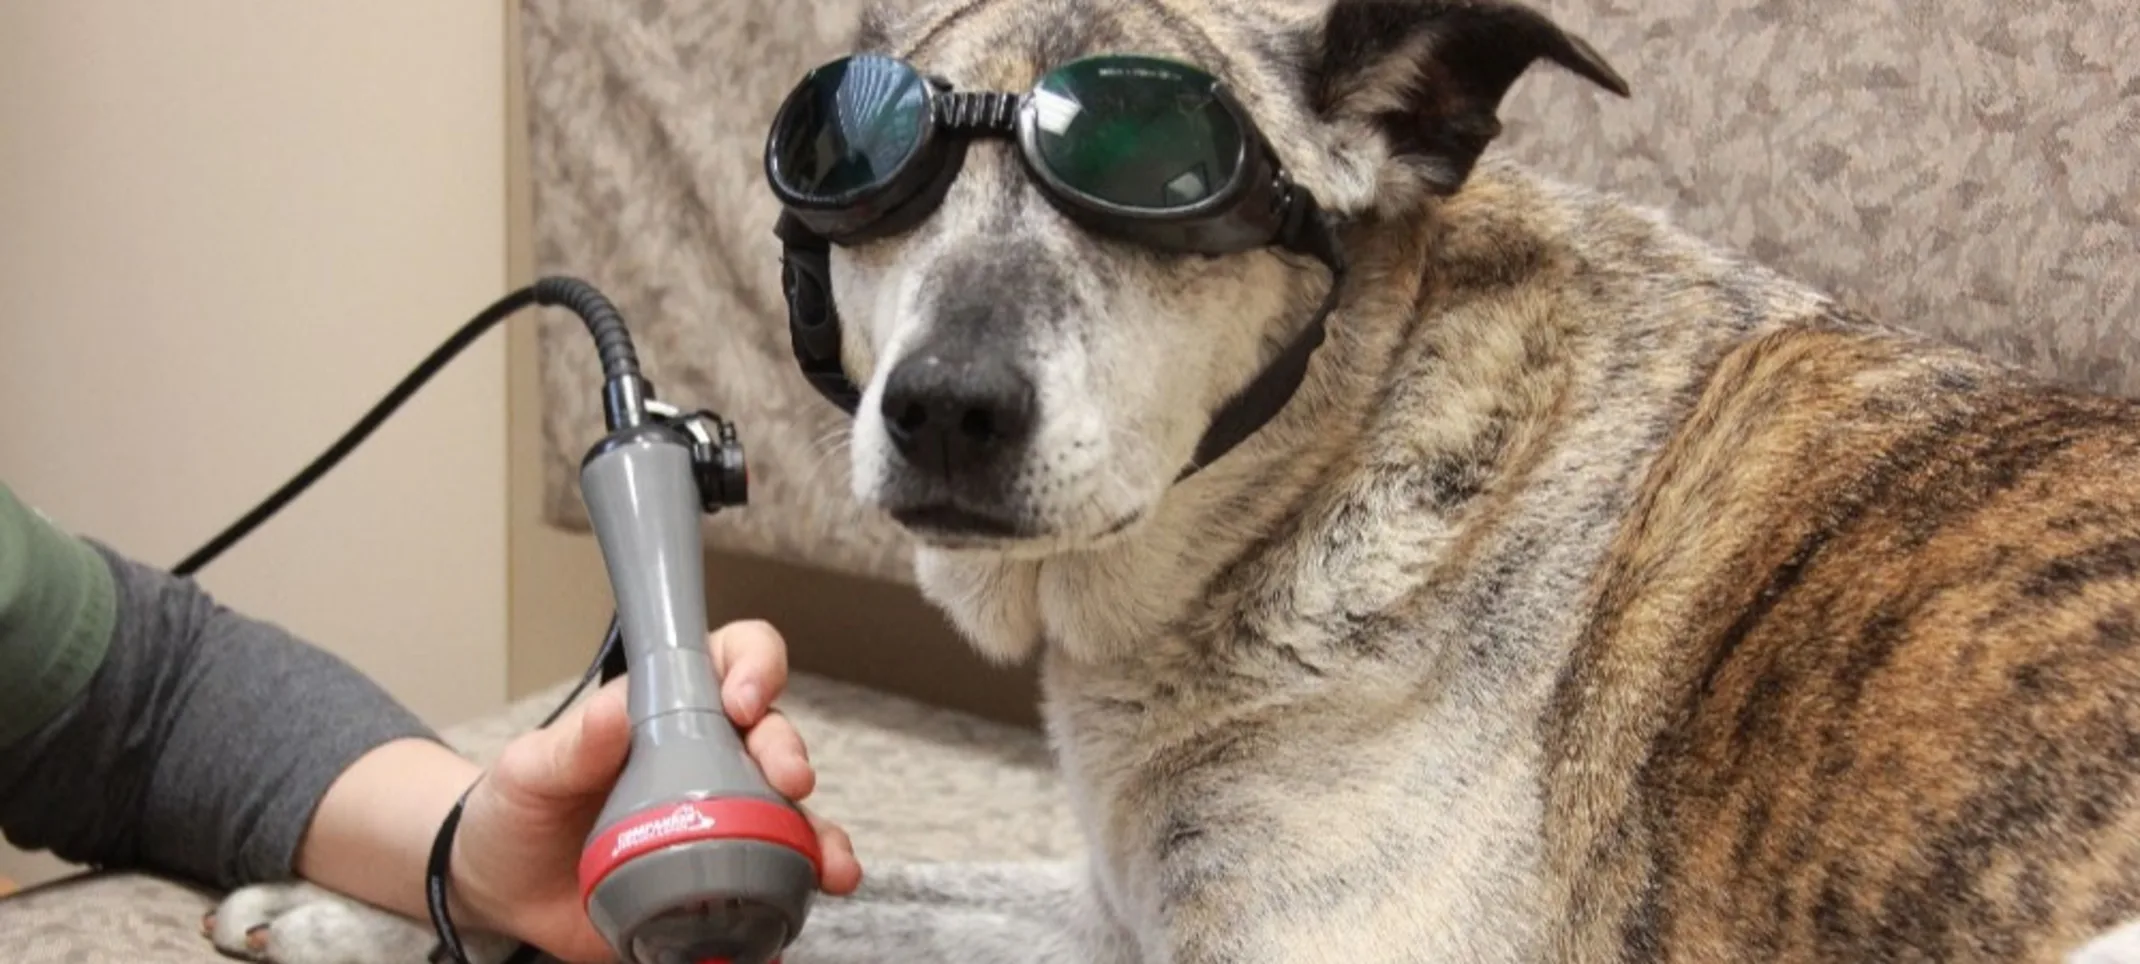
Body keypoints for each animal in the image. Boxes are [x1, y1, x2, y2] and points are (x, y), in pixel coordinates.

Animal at [201, 1, 2140, 964]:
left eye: (1160, 169)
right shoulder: (1114, 907)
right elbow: (868, 889)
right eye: (858, 164)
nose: (944, 410)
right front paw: (373, 898)